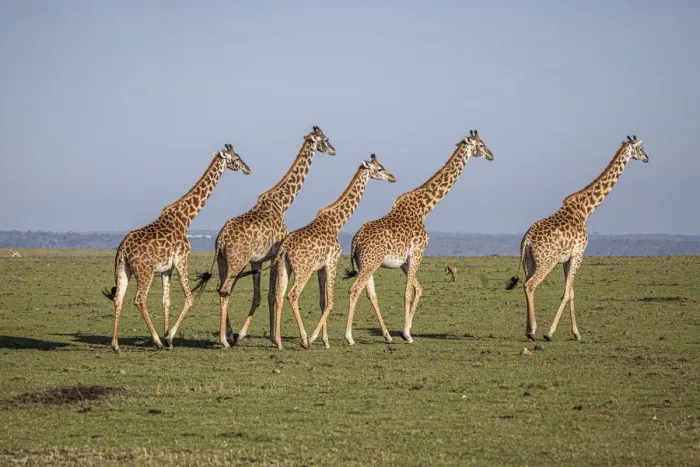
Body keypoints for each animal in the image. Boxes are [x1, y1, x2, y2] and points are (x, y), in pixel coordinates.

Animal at [102, 144, 251, 353]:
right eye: (236, 158)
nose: (248, 169)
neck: (186, 218)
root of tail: (122, 249)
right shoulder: (182, 260)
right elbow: (189, 298)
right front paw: (168, 337)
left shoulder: (167, 269)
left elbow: (166, 301)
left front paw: (168, 339)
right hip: (145, 272)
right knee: (139, 299)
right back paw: (156, 341)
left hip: (123, 269)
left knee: (118, 298)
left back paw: (116, 345)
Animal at [203, 126, 335, 349]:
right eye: (325, 139)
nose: (333, 150)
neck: (282, 203)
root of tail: (220, 239)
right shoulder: (274, 255)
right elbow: (272, 296)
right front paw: (274, 338)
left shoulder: (257, 260)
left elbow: (258, 296)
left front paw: (242, 334)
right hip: (237, 261)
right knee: (225, 290)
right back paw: (224, 339)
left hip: (223, 261)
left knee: (221, 288)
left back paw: (229, 335)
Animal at [269, 154, 396, 350]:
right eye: (380, 169)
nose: (392, 177)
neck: (337, 222)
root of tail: (283, 247)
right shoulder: (332, 262)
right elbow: (331, 301)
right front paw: (315, 338)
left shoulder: (321, 267)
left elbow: (323, 301)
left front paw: (325, 340)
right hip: (303, 270)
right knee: (293, 295)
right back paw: (304, 339)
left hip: (285, 267)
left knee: (279, 295)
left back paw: (279, 342)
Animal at [343, 131, 494, 345]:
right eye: (481, 144)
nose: (491, 155)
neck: (424, 209)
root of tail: (355, 241)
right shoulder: (417, 253)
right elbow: (408, 292)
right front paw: (406, 334)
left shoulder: (405, 261)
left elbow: (418, 289)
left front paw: (407, 329)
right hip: (370, 263)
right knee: (355, 290)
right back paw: (349, 337)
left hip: (367, 264)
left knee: (370, 294)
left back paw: (386, 335)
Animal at [505, 135, 649, 342]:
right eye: (641, 148)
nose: (647, 158)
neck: (586, 210)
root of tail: (527, 240)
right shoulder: (579, 253)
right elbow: (567, 293)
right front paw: (550, 333)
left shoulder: (568, 258)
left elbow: (571, 292)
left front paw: (576, 333)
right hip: (546, 262)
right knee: (530, 286)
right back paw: (533, 331)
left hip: (528, 263)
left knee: (527, 285)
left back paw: (528, 330)